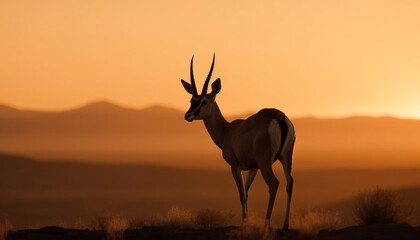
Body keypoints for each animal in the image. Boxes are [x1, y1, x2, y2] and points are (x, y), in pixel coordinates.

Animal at [180, 54, 296, 229]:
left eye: (204, 101)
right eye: (192, 100)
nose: (188, 115)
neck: (227, 130)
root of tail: (279, 117)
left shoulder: (235, 166)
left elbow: (241, 194)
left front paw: (244, 222)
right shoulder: (253, 168)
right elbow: (246, 192)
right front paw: (245, 220)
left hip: (266, 162)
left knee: (274, 183)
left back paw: (266, 223)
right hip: (285, 157)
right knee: (290, 182)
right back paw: (285, 224)